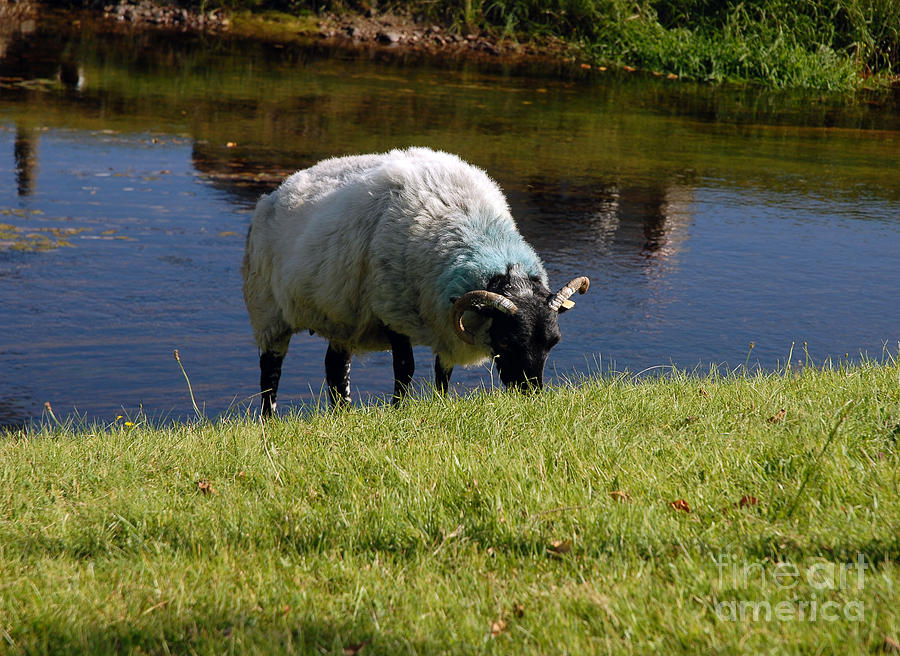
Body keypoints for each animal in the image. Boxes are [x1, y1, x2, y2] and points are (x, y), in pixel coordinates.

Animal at [241, 149, 592, 416]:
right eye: (506, 342)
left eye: (552, 343)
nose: (529, 395)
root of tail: (276, 192)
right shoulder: (391, 311)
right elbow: (405, 368)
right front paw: (399, 410)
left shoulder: (443, 322)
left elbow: (442, 372)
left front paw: (440, 404)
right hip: (268, 313)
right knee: (270, 373)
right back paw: (269, 421)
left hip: (342, 321)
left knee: (336, 369)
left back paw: (343, 414)